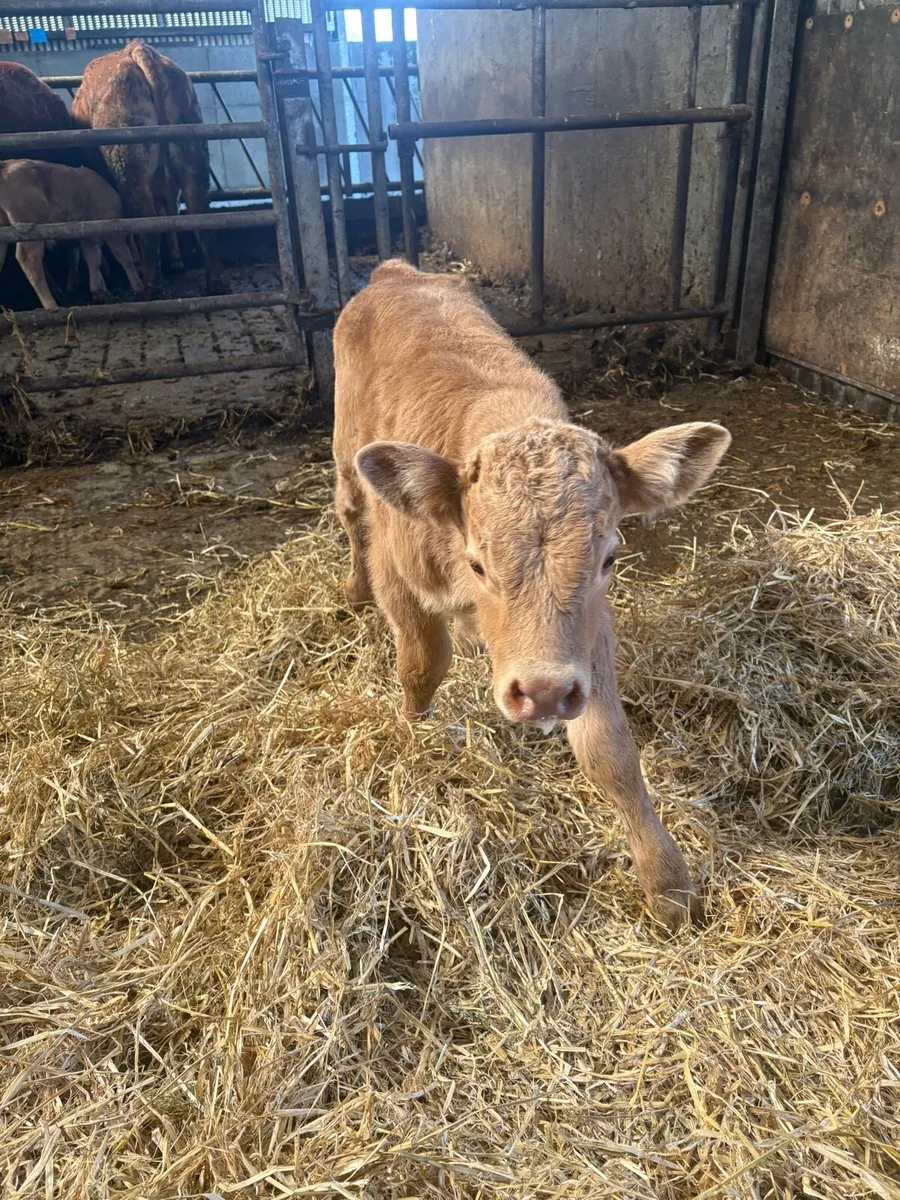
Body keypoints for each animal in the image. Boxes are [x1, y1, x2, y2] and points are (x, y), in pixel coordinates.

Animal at [0, 159, 142, 310]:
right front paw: (138, 287)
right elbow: (123, 256)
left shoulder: (88, 234)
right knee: (29, 258)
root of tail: (6, 163)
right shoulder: (111, 224)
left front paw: (99, 292)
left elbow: (93, 258)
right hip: (30, 226)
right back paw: (51, 304)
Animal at [72, 40, 223, 295]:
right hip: (192, 155)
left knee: (146, 224)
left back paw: (149, 288)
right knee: (199, 216)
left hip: (128, 166)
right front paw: (175, 261)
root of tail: (137, 48)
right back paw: (214, 285)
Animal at [333, 261, 731, 931]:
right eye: (479, 563)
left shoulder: (589, 638)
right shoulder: (400, 577)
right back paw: (354, 590)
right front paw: (411, 734)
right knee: (348, 510)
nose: (542, 692)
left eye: (609, 558)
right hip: (344, 451)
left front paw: (667, 882)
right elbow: (421, 665)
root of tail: (397, 272)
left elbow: (609, 750)